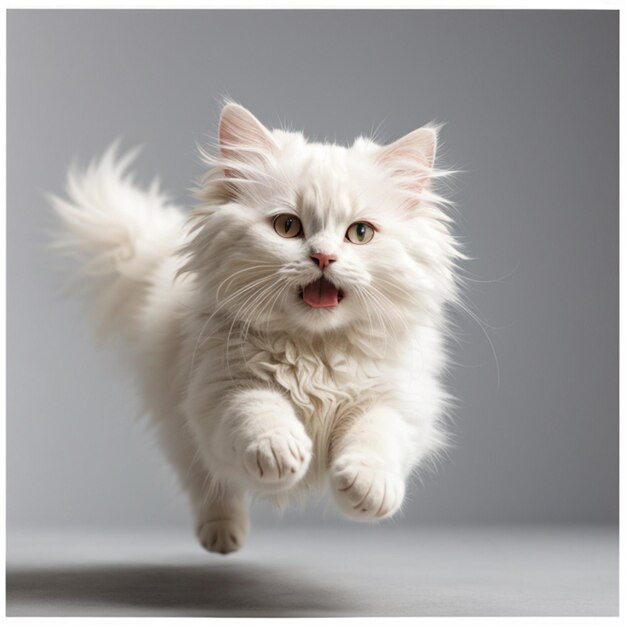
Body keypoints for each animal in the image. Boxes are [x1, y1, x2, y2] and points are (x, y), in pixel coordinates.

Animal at [52, 102, 458, 552]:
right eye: (288, 227)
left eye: (361, 233)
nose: (323, 257)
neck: (315, 350)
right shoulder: (219, 392)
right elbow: (259, 410)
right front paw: (281, 452)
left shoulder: (399, 401)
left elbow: (377, 435)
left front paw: (366, 487)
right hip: (180, 430)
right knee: (209, 488)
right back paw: (222, 537)